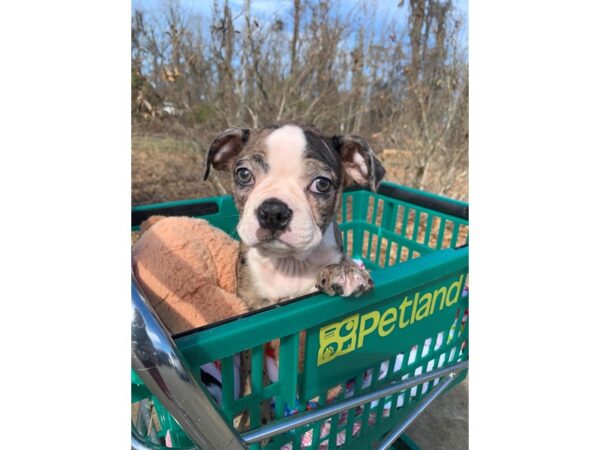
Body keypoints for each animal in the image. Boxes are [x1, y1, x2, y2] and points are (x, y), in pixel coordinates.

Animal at [204, 121, 386, 312]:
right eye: (244, 174)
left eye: (322, 184)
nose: (273, 211)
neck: (289, 262)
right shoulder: (251, 299)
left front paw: (346, 271)